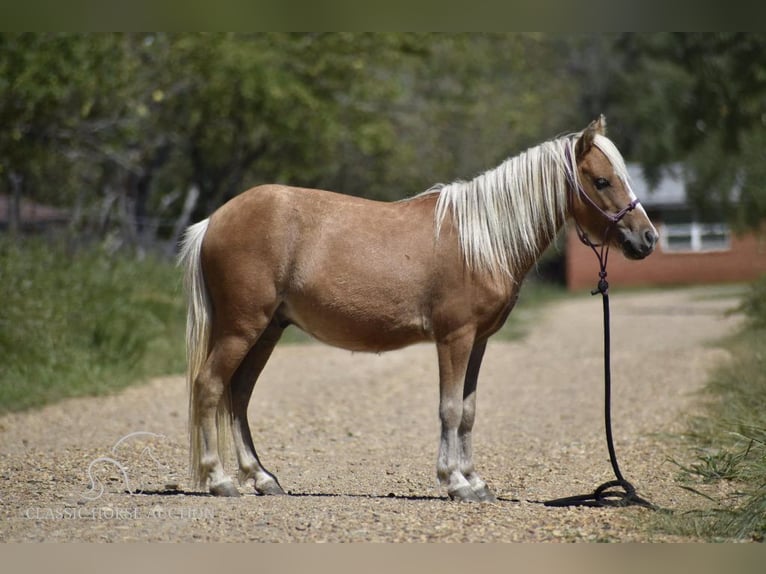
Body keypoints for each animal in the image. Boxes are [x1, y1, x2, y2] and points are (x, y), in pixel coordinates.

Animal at [180, 117, 660, 504]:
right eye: (602, 181)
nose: (647, 239)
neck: (480, 239)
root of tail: (214, 221)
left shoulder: (478, 341)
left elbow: (468, 410)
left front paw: (475, 481)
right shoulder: (454, 337)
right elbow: (449, 409)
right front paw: (456, 483)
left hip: (268, 330)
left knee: (239, 395)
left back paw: (262, 478)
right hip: (242, 327)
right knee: (210, 386)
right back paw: (220, 480)